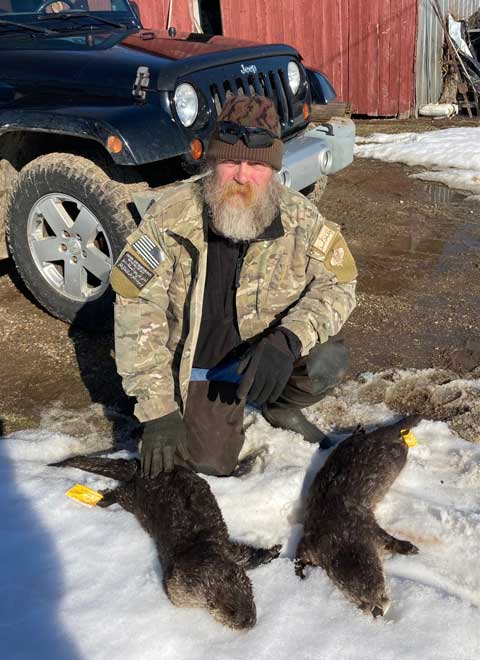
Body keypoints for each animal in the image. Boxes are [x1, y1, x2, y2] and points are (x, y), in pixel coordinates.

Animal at [52, 457, 280, 630]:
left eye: (251, 598)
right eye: (231, 611)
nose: (250, 622)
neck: (203, 549)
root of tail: (142, 468)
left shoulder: (225, 548)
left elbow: (245, 554)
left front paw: (273, 552)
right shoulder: (178, 581)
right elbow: (176, 596)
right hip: (136, 498)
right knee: (122, 493)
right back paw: (103, 497)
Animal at [295, 416, 420, 617]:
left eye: (381, 589)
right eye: (358, 599)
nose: (377, 611)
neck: (338, 532)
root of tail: (381, 435)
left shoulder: (366, 528)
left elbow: (389, 540)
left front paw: (409, 547)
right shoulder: (314, 541)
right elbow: (299, 553)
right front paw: (300, 571)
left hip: (397, 456)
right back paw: (359, 430)